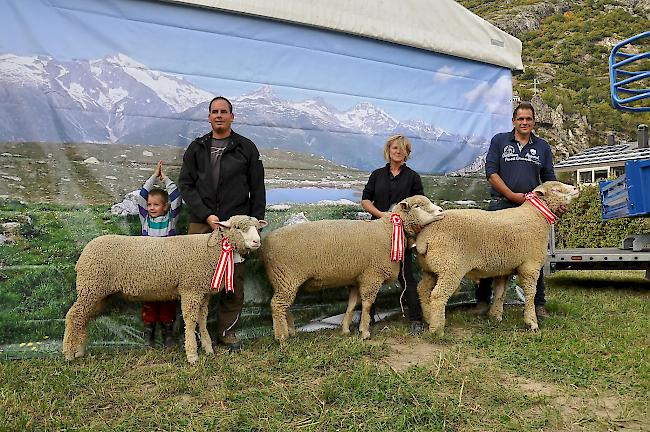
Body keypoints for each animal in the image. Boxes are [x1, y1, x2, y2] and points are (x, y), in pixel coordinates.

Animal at [62, 214, 266, 362]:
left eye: (257, 227)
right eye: (237, 227)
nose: (257, 242)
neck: (211, 249)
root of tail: (85, 252)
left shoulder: (203, 291)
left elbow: (202, 319)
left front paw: (208, 348)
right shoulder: (190, 289)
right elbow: (190, 320)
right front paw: (192, 355)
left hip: (96, 291)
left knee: (83, 317)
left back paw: (79, 350)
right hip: (91, 286)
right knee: (73, 315)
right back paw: (68, 353)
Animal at [260, 195, 442, 340]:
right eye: (417, 206)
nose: (440, 210)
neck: (388, 230)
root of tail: (266, 242)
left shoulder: (357, 278)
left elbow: (352, 305)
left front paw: (346, 329)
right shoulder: (372, 276)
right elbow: (367, 305)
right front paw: (365, 332)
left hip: (284, 281)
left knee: (285, 306)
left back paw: (290, 331)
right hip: (286, 277)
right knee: (277, 305)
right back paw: (282, 337)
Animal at [412, 181, 576, 336]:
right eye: (556, 190)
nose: (575, 188)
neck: (536, 216)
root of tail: (425, 237)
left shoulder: (503, 269)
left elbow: (500, 293)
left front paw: (496, 316)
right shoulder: (530, 266)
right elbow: (530, 294)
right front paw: (532, 322)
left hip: (431, 268)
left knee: (422, 290)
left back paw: (429, 318)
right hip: (450, 268)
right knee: (438, 295)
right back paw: (437, 330)